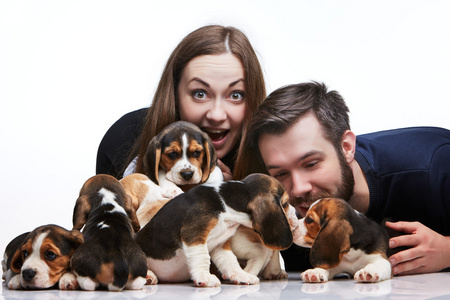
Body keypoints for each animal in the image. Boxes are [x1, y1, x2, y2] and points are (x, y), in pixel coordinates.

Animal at [135, 175, 294, 288]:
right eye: (286, 203)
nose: (296, 213)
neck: (226, 204)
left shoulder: (221, 243)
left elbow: (230, 261)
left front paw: (241, 275)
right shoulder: (194, 234)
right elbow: (202, 257)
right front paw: (204, 277)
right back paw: (149, 276)